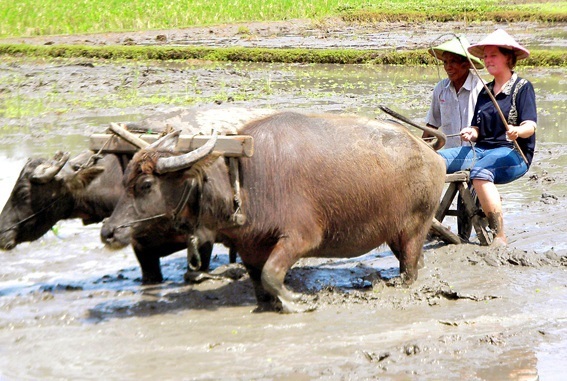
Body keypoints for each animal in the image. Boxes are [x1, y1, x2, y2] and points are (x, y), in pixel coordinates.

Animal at [101, 110, 448, 312]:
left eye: (146, 185)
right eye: (124, 179)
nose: (108, 231)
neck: (243, 181)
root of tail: (429, 151)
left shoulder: (300, 237)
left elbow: (271, 274)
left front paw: (297, 301)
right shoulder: (249, 246)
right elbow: (259, 280)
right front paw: (270, 303)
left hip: (416, 227)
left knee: (409, 266)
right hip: (395, 231)